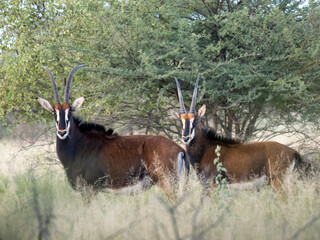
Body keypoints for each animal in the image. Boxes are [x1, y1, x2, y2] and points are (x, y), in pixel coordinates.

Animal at [37, 65, 188, 197]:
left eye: (70, 111)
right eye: (54, 112)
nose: (62, 132)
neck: (79, 144)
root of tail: (180, 149)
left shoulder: (89, 190)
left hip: (167, 183)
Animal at [171, 76, 302, 192]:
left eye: (195, 121)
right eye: (181, 122)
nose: (186, 138)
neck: (206, 148)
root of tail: (291, 151)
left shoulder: (214, 186)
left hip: (278, 182)